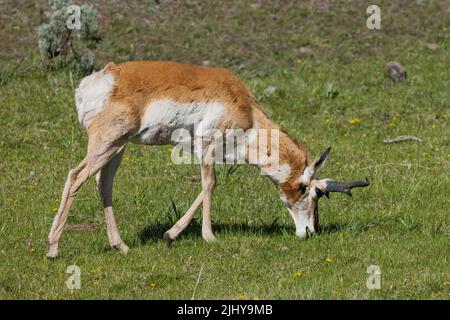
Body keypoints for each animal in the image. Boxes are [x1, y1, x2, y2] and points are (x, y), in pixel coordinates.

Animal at [46, 61, 370, 258]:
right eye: (311, 193)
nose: (310, 232)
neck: (248, 111)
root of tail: (96, 82)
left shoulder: (200, 149)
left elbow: (205, 187)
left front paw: (170, 234)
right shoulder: (208, 144)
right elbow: (211, 184)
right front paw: (208, 236)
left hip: (118, 147)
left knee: (103, 184)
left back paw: (121, 245)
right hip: (107, 143)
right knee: (76, 176)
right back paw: (53, 248)